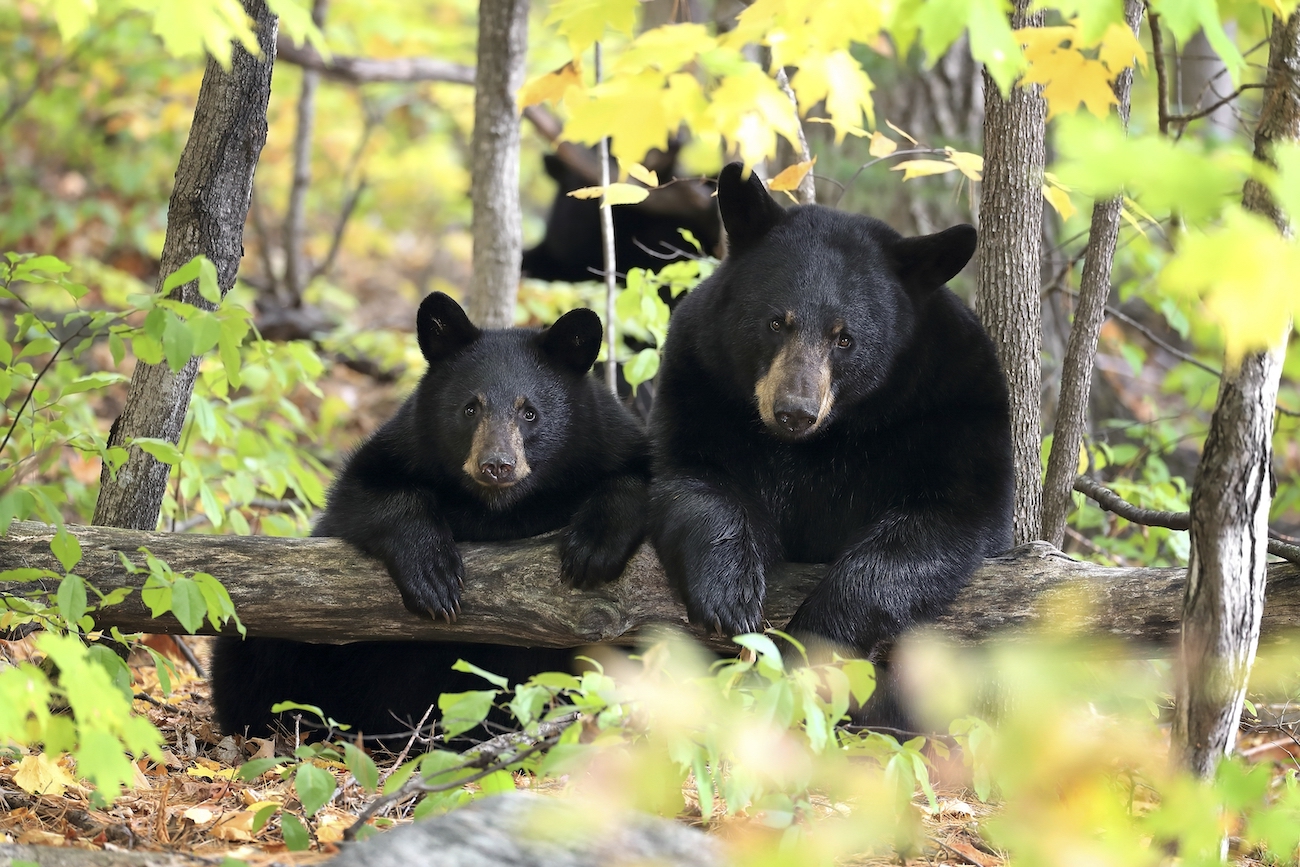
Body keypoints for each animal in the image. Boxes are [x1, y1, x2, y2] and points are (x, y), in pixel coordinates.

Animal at [211, 293, 650, 738]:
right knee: (252, 651)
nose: (497, 465)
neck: (500, 509)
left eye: (530, 413)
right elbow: (365, 496)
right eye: (470, 408)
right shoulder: (402, 448)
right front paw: (434, 577)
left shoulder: (608, 438)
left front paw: (592, 550)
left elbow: (638, 478)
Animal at [650, 162, 1013, 665]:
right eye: (776, 322)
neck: (822, 439)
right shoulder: (699, 382)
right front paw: (728, 594)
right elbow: (694, 475)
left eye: (845, 339)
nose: (794, 412)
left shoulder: (956, 407)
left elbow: (944, 518)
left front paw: (817, 634)